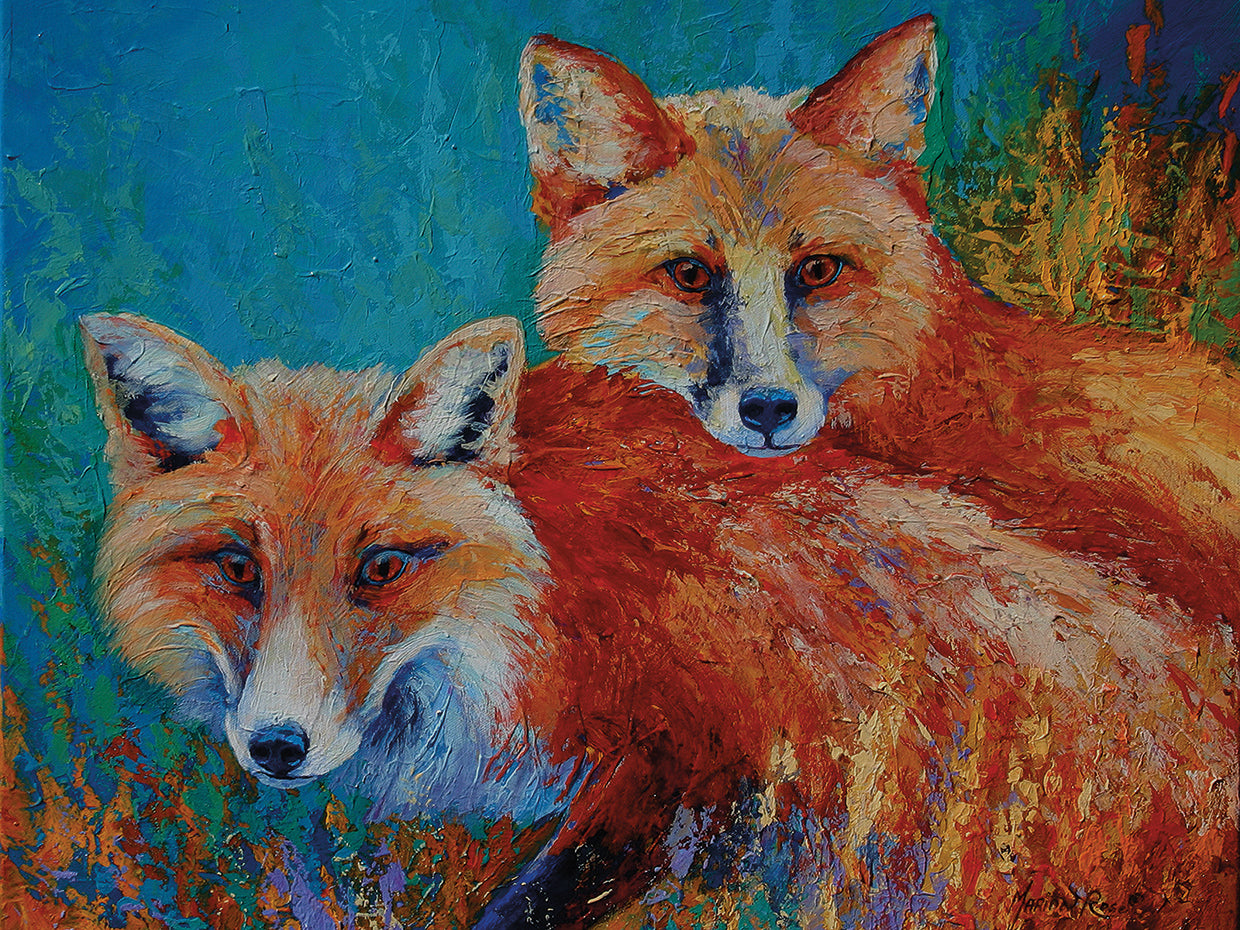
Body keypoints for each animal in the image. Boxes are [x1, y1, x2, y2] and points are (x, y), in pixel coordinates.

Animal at [85, 314, 1236, 928]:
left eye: (380, 569)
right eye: (237, 568)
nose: (276, 747)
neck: (555, 604)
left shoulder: (694, 760)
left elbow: (527, 906)